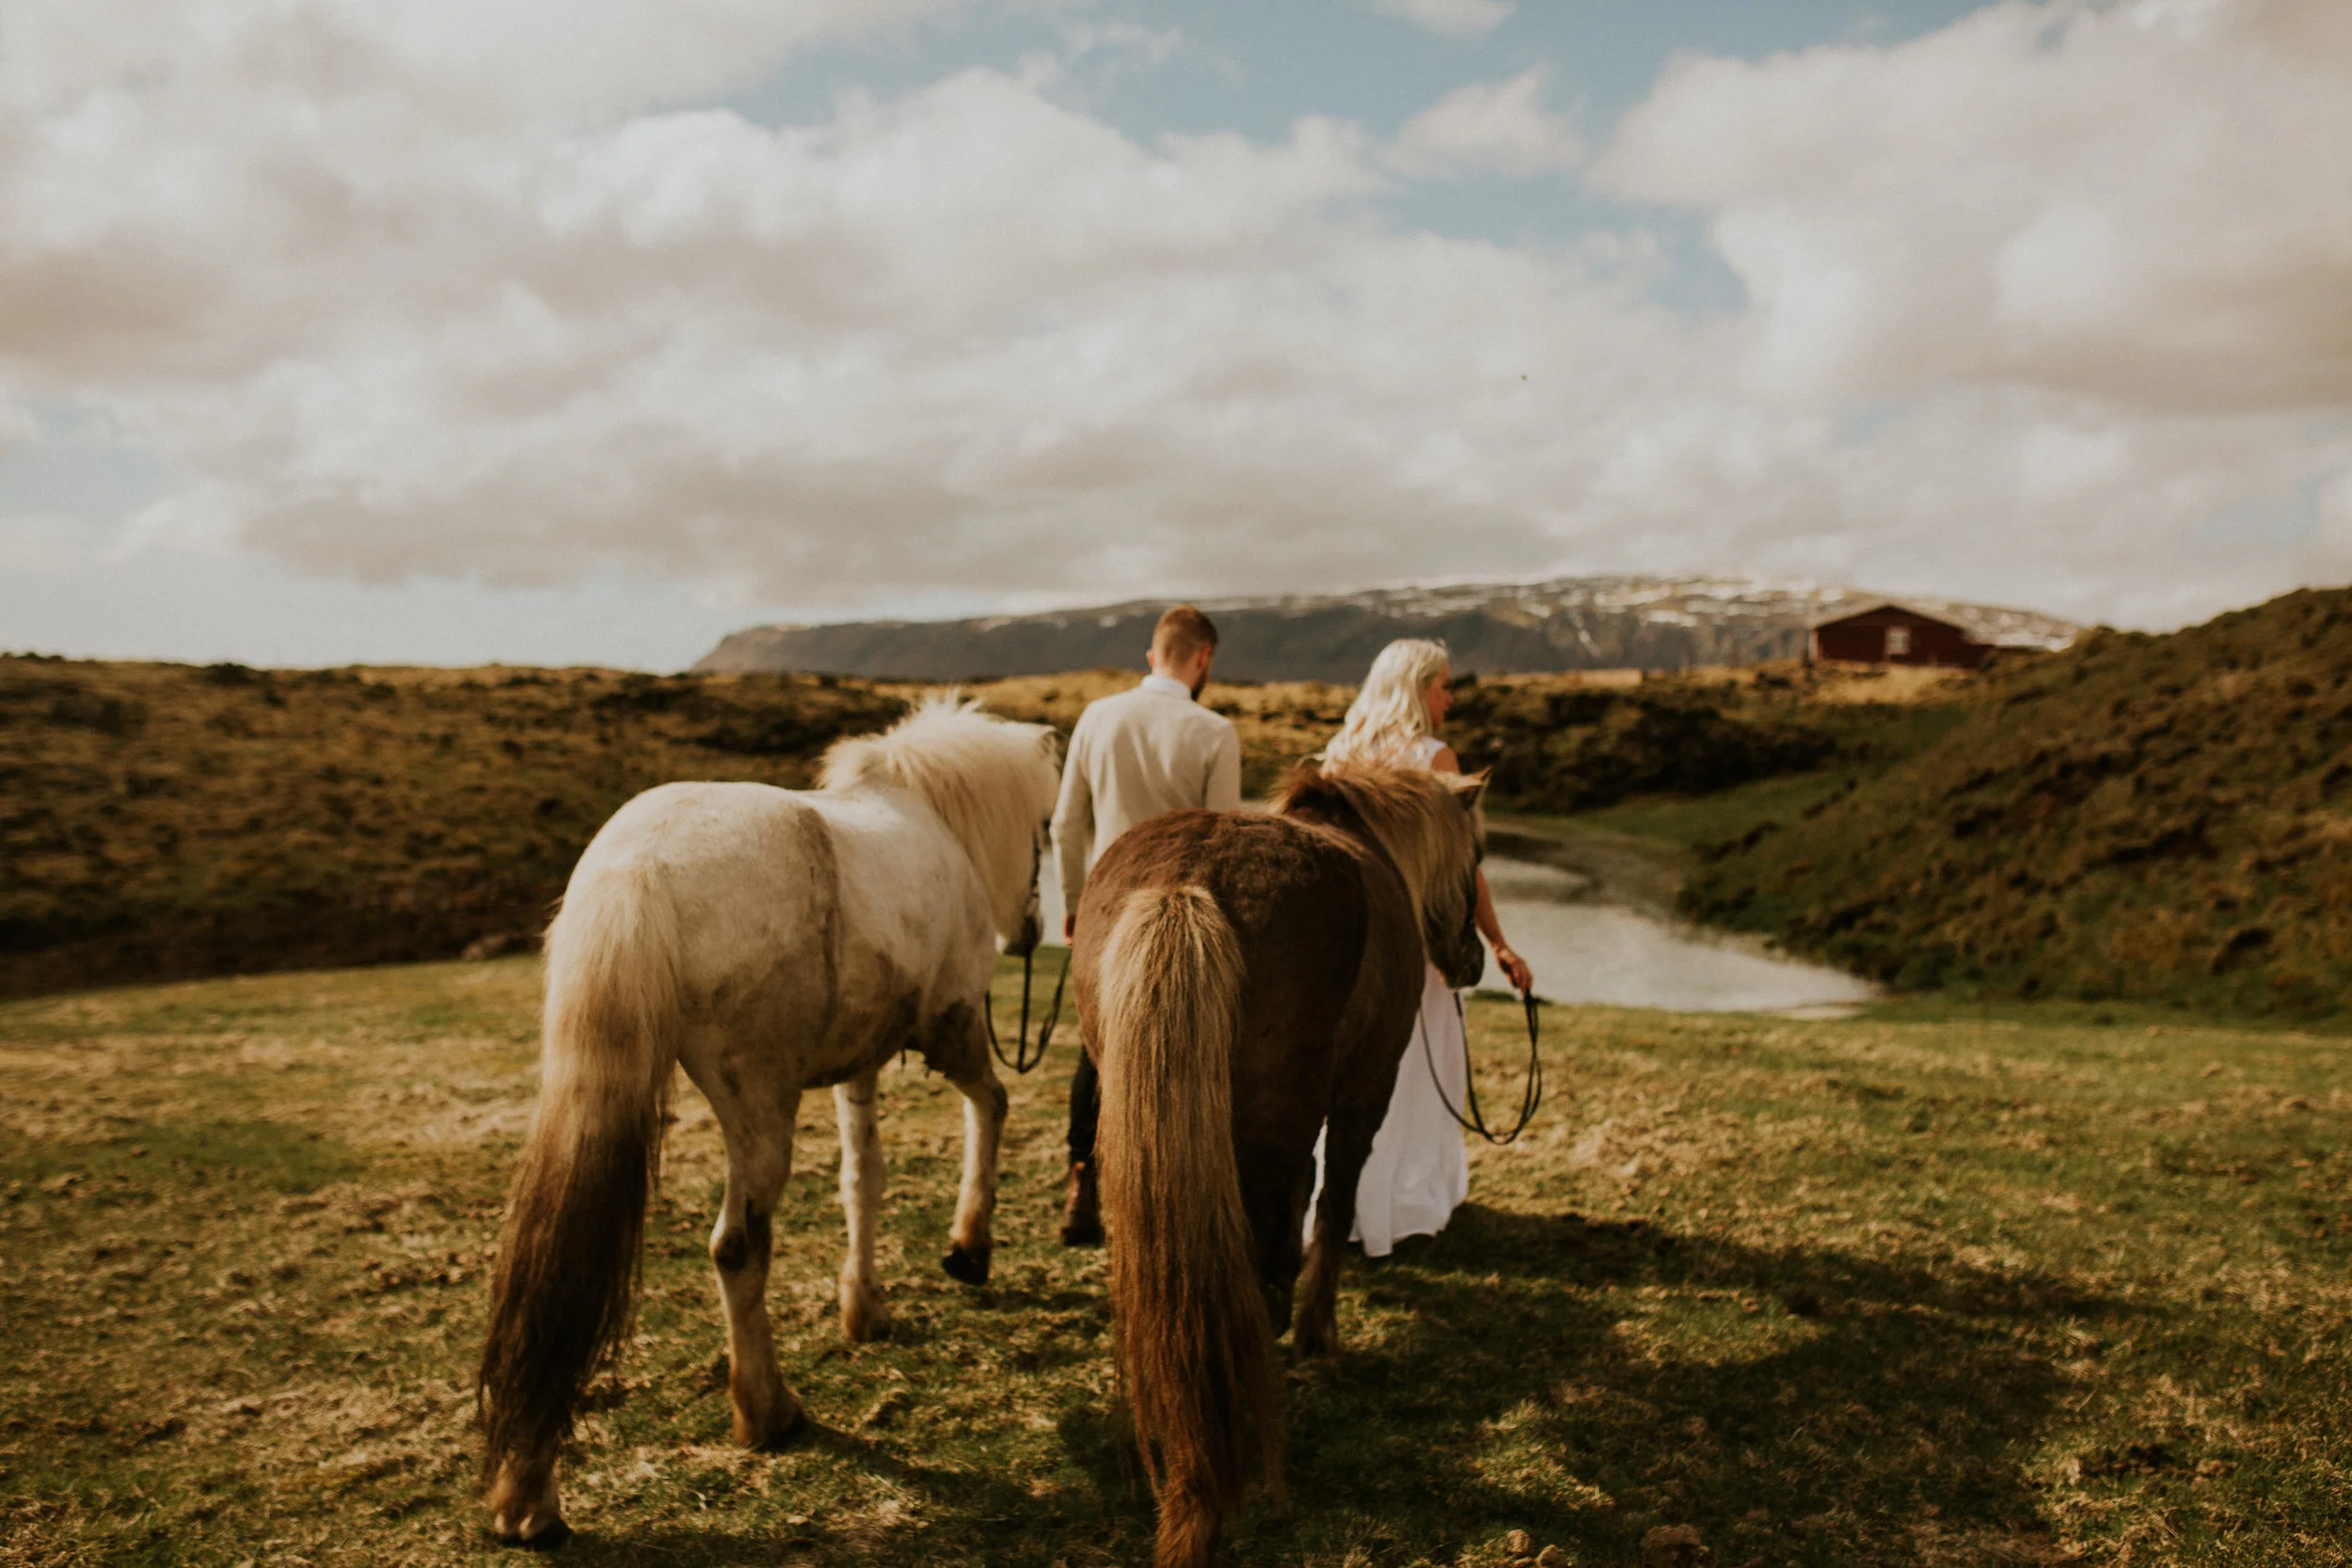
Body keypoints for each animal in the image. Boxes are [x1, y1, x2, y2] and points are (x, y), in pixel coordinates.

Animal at [475, 697, 1060, 1548]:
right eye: (1047, 826)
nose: (1032, 930)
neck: (929, 817)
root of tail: (639, 868)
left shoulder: (859, 1064)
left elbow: (863, 1179)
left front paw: (865, 1306)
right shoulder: (949, 1029)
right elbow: (990, 1105)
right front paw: (968, 1248)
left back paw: (528, 1493)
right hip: (759, 1102)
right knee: (737, 1246)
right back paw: (769, 1410)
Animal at [1070, 758, 1487, 1568]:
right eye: (1477, 858)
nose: (1476, 960)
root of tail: (1188, 880)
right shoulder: (1366, 1090)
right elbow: (1332, 1201)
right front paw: (1318, 1333)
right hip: (1284, 1123)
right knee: (1263, 1250)